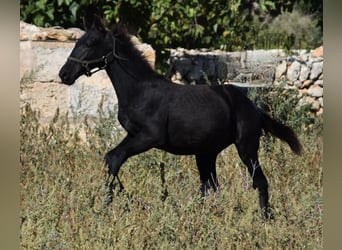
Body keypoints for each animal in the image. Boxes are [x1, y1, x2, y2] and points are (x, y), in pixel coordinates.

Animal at [59, 15, 302, 219]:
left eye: (90, 43)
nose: (64, 74)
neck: (140, 90)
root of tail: (254, 109)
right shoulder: (134, 135)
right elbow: (111, 158)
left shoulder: (149, 137)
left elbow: (114, 158)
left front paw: (107, 207)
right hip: (206, 153)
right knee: (210, 186)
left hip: (247, 148)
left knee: (259, 181)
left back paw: (266, 219)